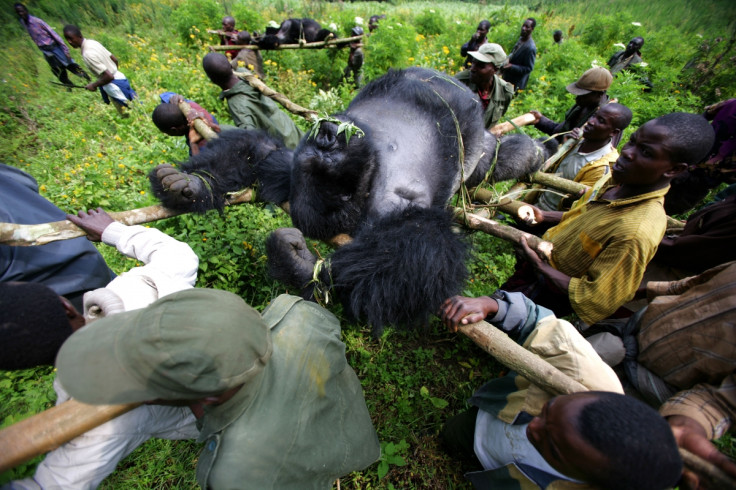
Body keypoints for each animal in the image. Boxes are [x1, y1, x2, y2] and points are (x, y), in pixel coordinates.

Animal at [148, 66, 552, 334]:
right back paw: (532, 154)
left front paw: (190, 183)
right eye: (328, 176)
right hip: (474, 153)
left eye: (326, 156)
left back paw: (535, 151)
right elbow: (415, 250)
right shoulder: (366, 201)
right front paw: (301, 266)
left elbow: (261, 153)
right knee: (492, 161)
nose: (327, 134)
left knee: (497, 153)